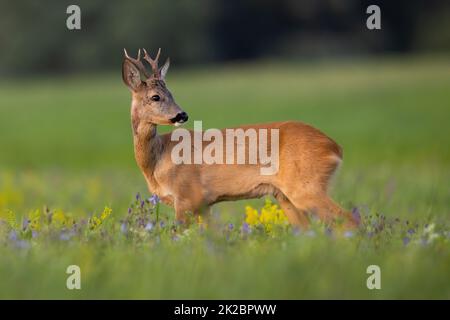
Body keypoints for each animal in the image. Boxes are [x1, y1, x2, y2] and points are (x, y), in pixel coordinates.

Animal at [121, 47, 356, 228]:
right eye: (156, 96)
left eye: (171, 94)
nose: (182, 115)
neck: (156, 162)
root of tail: (335, 147)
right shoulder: (203, 205)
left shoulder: (187, 196)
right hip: (284, 196)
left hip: (306, 187)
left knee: (349, 220)